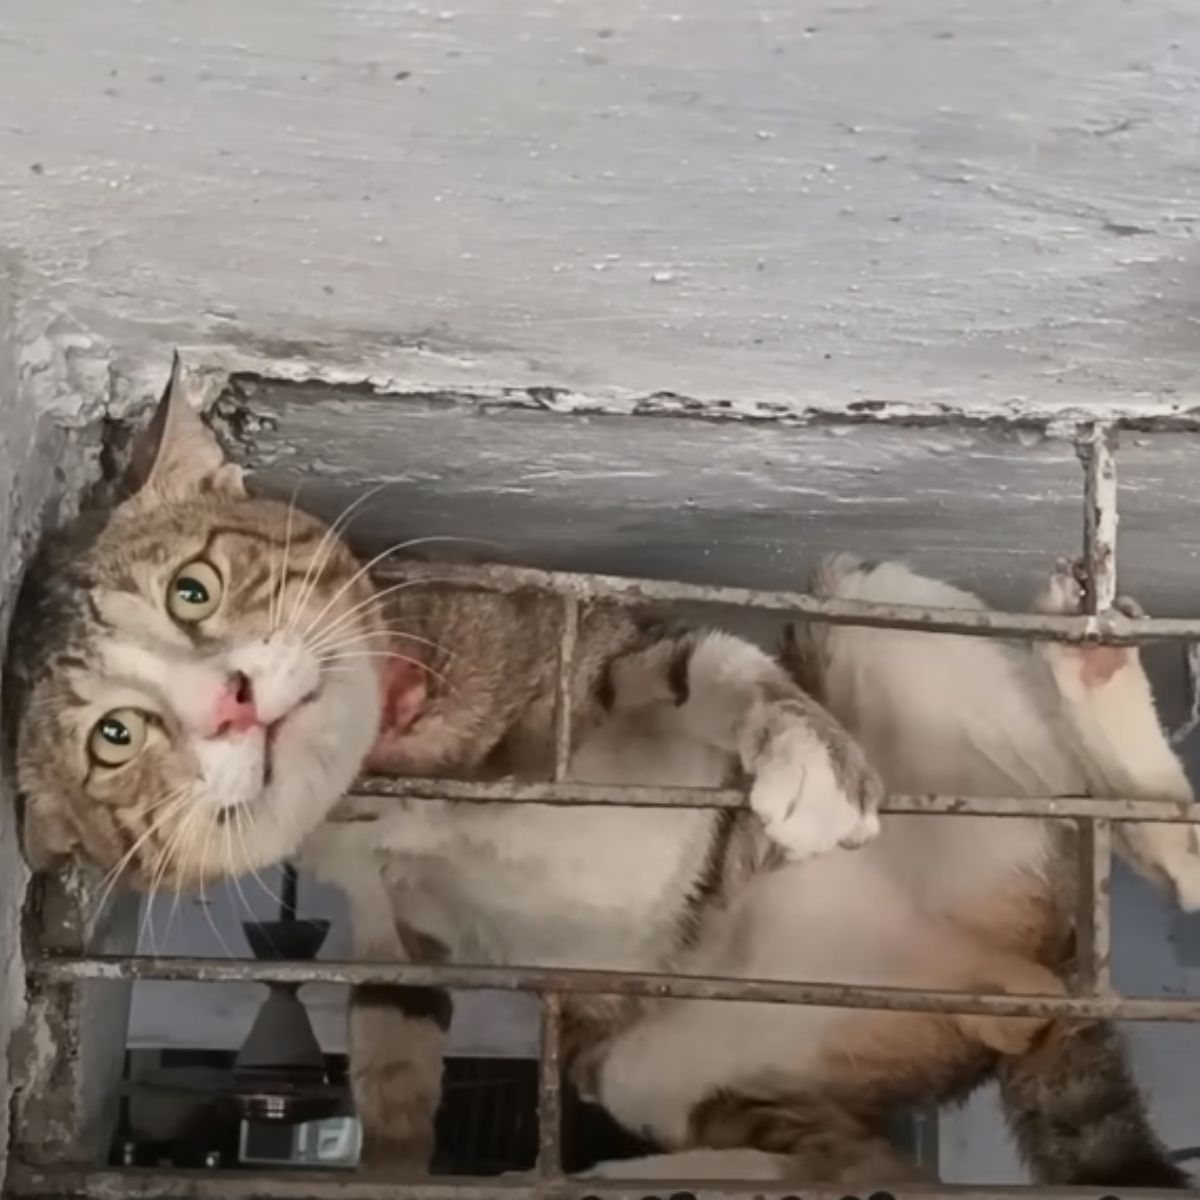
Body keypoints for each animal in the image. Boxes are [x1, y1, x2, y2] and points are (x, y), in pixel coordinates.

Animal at [4, 369, 1195, 1185]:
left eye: (194, 589)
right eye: (116, 735)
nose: (234, 701)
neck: (394, 783)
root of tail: (1019, 980)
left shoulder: (584, 642)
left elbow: (701, 667)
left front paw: (800, 751)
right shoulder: (386, 920)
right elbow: (394, 1048)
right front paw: (390, 1164)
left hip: (887, 633)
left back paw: (1101, 689)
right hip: (660, 1062)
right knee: (856, 1166)